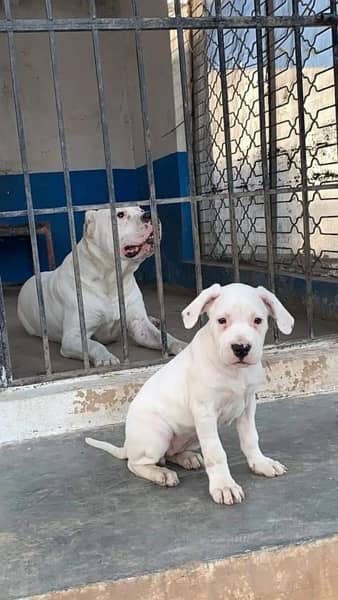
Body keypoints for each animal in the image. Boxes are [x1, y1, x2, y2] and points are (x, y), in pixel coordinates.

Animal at [17, 206, 186, 366]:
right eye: (120, 215)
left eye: (140, 209)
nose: (150, 214)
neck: (111, 280)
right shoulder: (73, 336)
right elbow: (95, 345)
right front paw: (106, 358)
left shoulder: (140, 327)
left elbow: (164, 336)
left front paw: (180, 344)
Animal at [86, 284, 294, 504]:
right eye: (222, 320)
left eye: (258, 320)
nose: (241, 348)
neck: (234, 371)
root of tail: (128, 445)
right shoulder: (205, 413)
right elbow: (215, 452)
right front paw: (224, 486)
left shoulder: (247, 406)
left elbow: (251, 438)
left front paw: (261, 463)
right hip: (158, 434)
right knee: (136, 463)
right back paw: (161, 474)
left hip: (190, 434)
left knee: (169, 454)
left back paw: (187, 457)